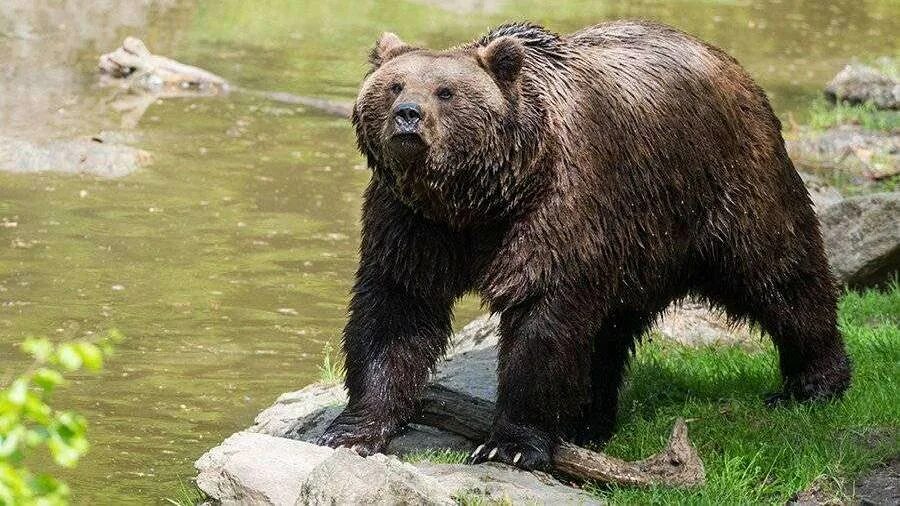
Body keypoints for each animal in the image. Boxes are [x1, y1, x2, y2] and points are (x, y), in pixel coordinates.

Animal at [316, 19, 852, 470]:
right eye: (394, 85)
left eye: (445, 92)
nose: (407, 116)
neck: (478, 198)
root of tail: (728, 62)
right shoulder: (413, 223)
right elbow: (395, 311)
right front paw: (353, 429)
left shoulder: (557, 210)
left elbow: (542, 318)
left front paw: (510, 444)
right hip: (636, 245)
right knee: (608, 329)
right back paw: (589, 422)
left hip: (725, 184)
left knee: (777, 273)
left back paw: (814, 382)